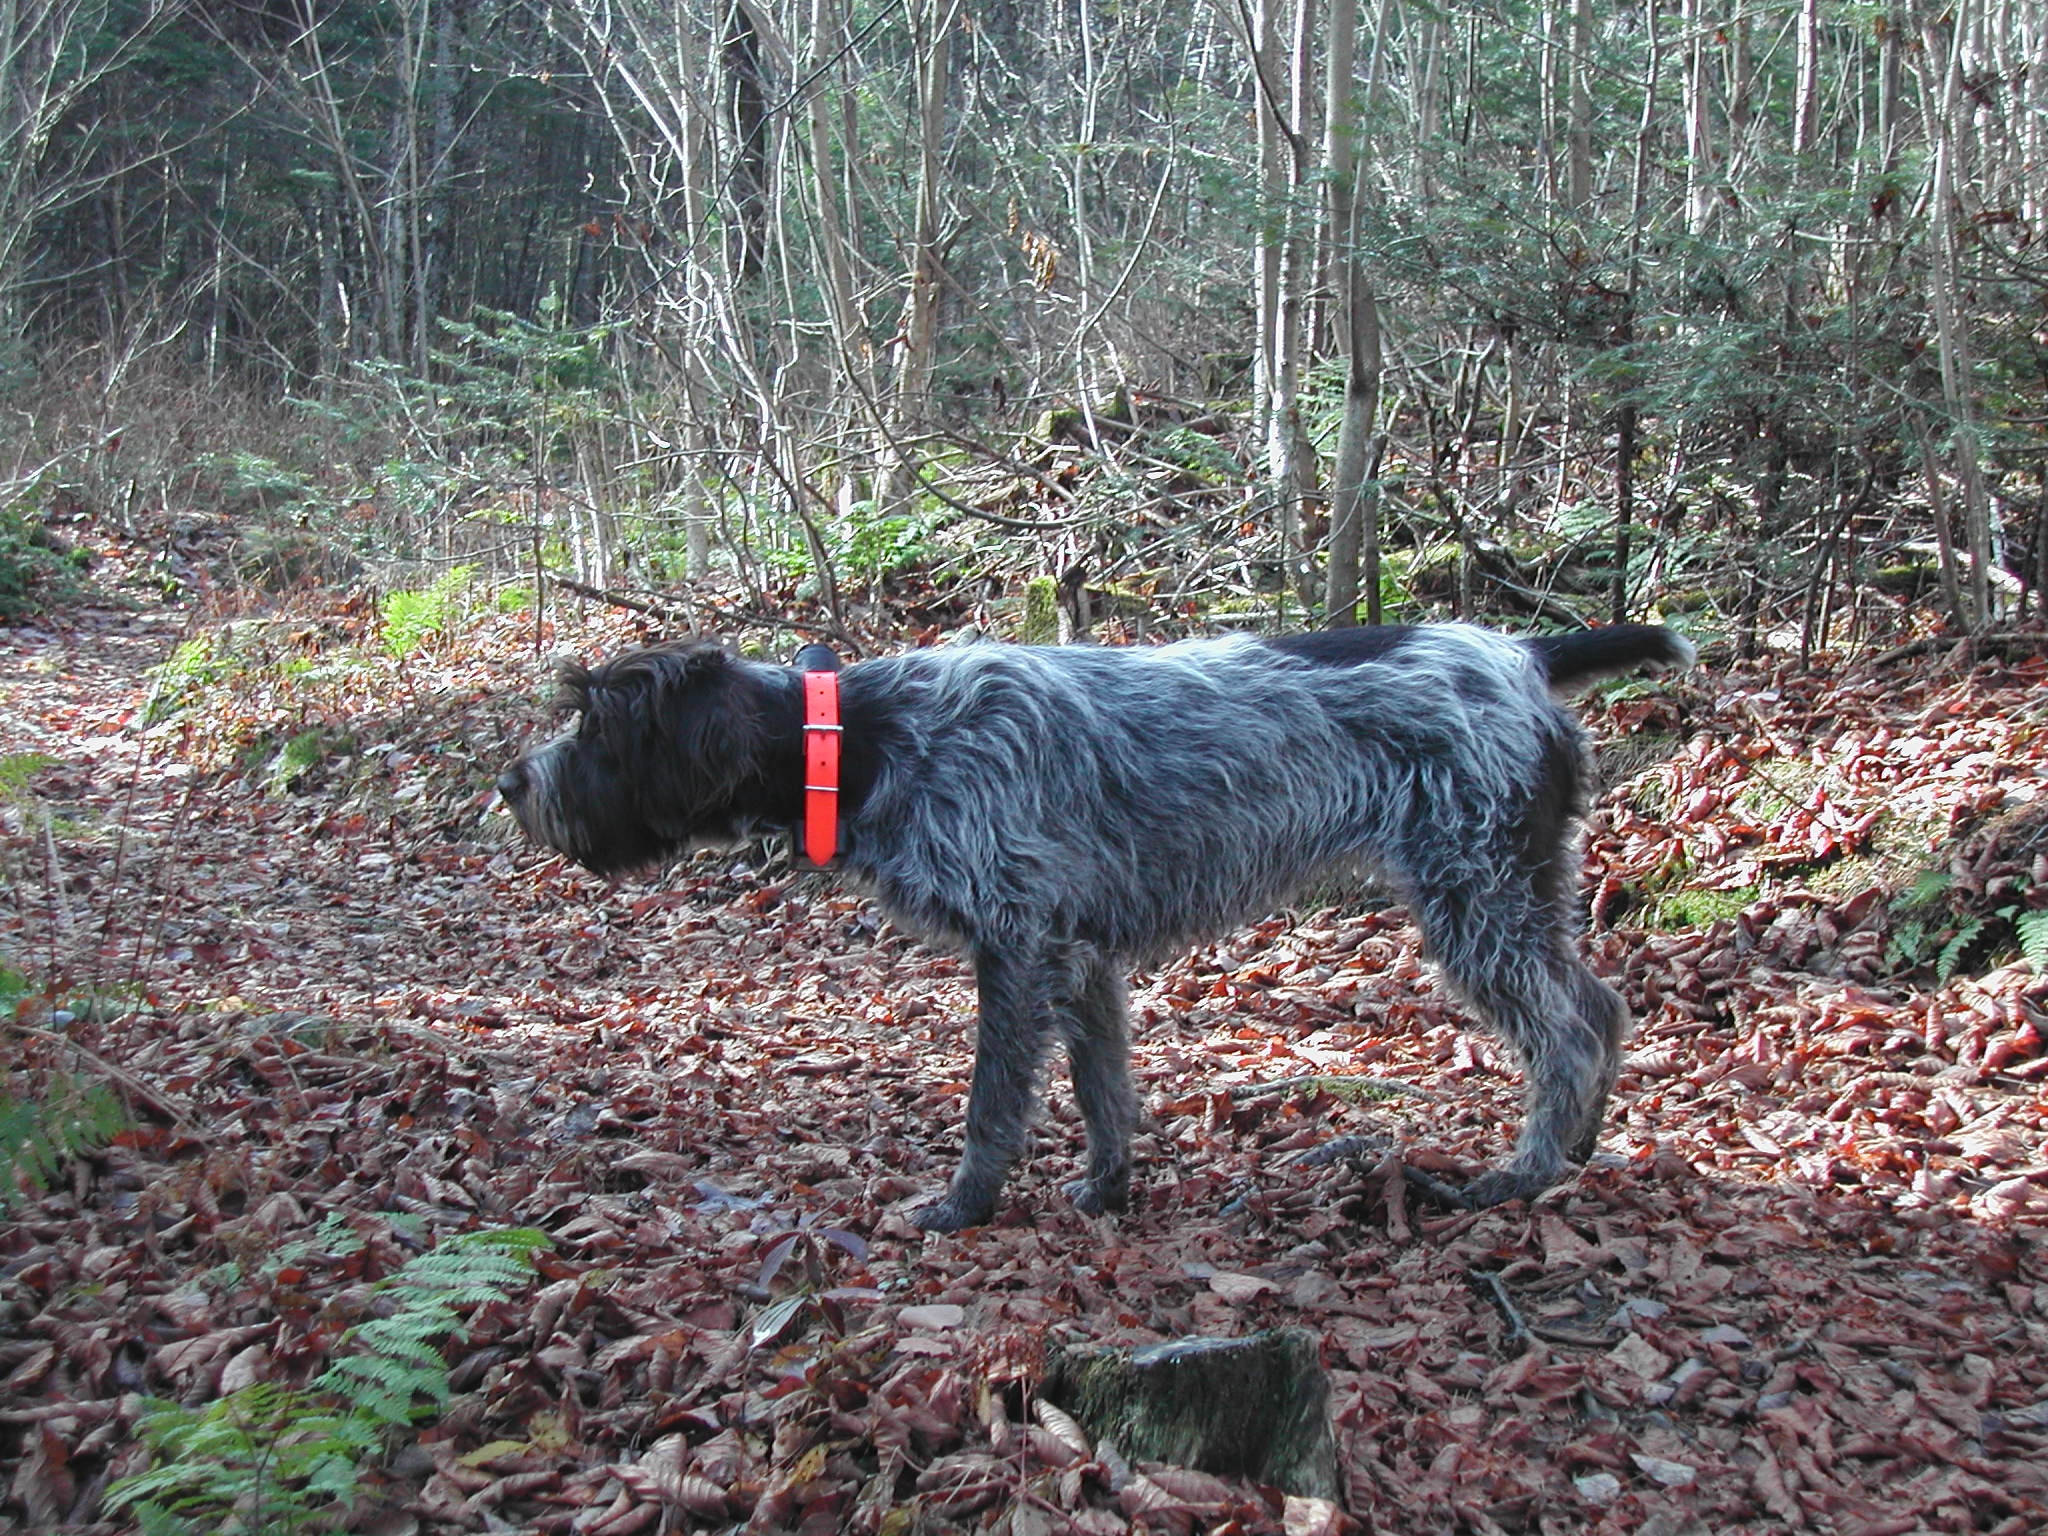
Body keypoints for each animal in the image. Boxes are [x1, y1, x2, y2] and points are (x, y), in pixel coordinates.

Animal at [495, 618, 1695, 1236]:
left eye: (597, 725)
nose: (512, 783)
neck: (864, 739)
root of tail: (1522, 655)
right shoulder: (1079, 955)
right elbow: (1102, 1087)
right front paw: (1109, 1189)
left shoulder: (1017, 943)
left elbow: (993, 1103)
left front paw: (963, 1206)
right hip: (1517, 889)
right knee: (1600, 1006)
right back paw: (1576, 1147)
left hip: (1473, 894)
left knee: (1568, 1029)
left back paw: (1520, 1176)